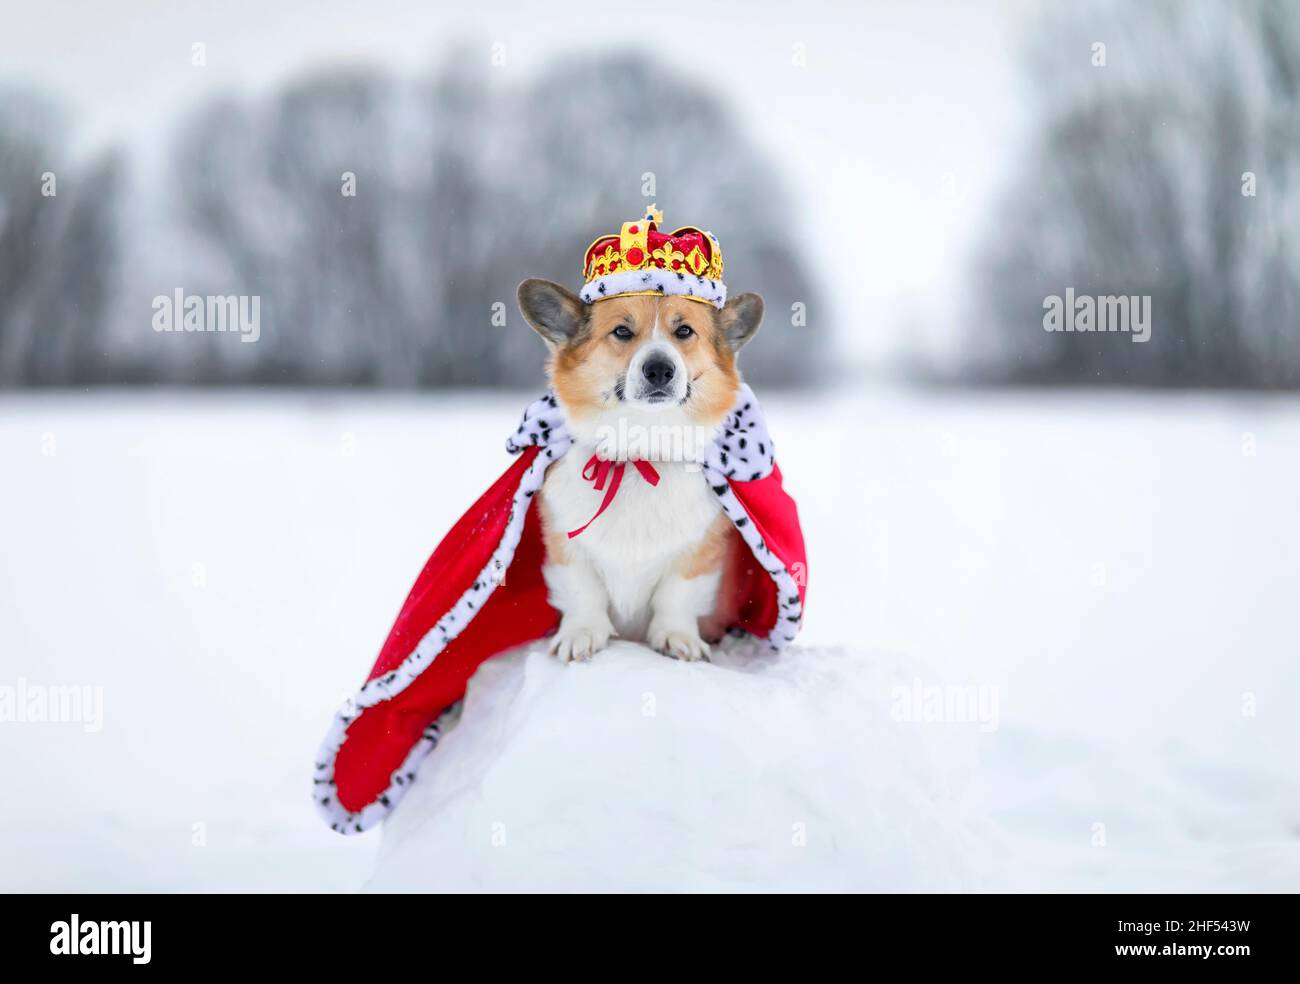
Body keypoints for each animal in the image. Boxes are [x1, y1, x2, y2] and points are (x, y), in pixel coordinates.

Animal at [514, 276, 759, 660]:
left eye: (684, 331)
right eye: (622, 332)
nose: (659, 369)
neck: (640, 450)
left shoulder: (698, 552)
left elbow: (675, 595)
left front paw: (677, 637)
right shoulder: (566, 546)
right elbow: (584, 592)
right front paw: (581, 634)